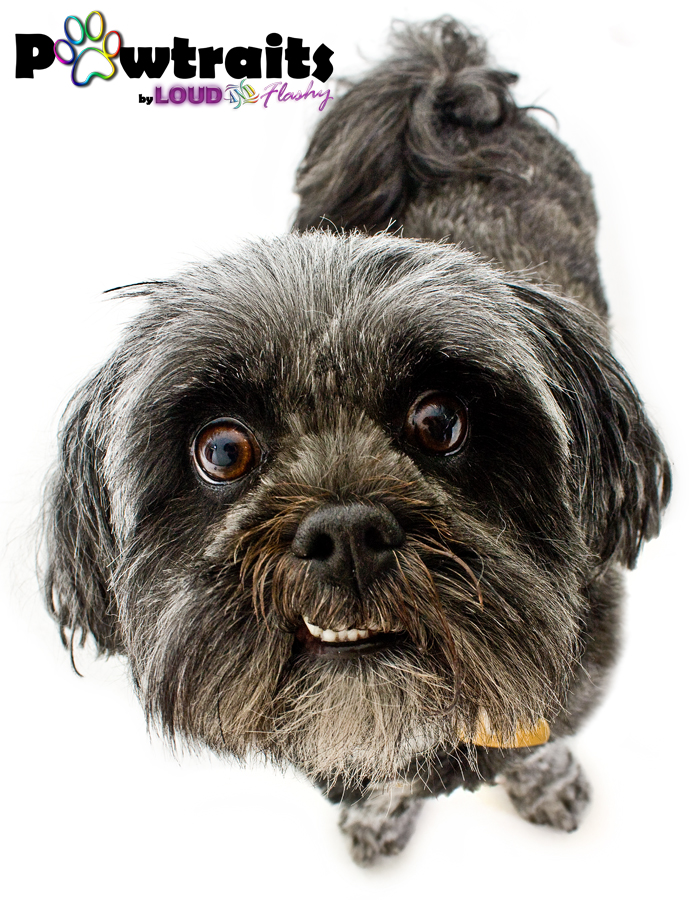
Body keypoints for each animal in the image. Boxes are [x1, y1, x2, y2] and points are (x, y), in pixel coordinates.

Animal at [44, 18, 670, 866]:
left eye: (439, 422)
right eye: (222, 451)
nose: (345, 534)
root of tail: (451, 84)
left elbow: (536, 742)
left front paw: (542, 781)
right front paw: (378, 810)